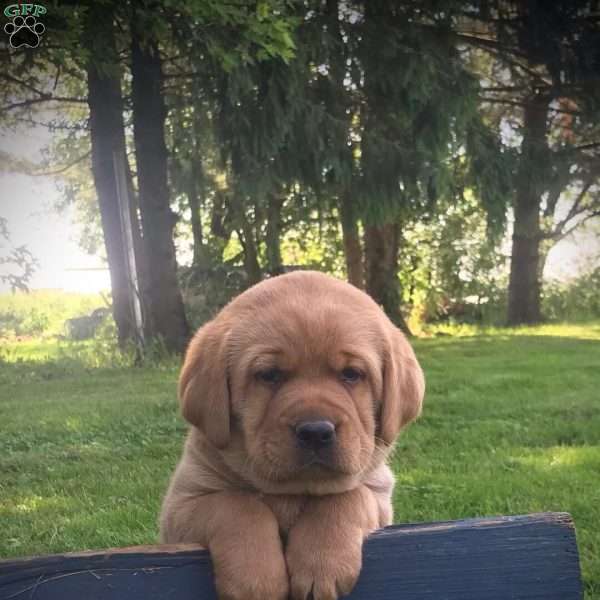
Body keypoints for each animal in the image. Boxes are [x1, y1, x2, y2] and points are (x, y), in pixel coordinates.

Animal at [159, 270, 422, 600]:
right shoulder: (180, 506)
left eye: (352, 374)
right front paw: (256, 580)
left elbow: (347, 495)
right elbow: (237, 504)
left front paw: (321, 564)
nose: (316, 432)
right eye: (269, 375)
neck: (292, 491)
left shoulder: (379, 494)